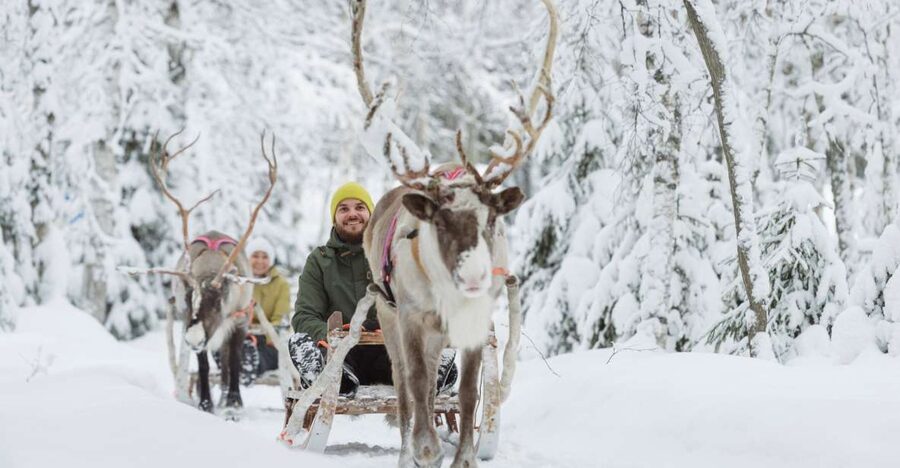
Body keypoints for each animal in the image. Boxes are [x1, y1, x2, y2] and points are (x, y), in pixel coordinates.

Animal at [128, 130, 277, 414]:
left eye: (217, 302)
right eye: (187, 300)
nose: (194, 338)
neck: (209, 269)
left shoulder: (240, 321)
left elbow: (234, 362)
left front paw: (234, 404)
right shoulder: (192, 326)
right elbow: (205, 365)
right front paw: (206, 403)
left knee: (229, 363)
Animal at [350, 0, 558, 466]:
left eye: (493, 219)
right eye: (440, 222)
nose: (475, 276)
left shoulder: (476, 323)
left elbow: (466, 394)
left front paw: (463, 455)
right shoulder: (410, 317)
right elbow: (417, 390)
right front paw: (426, 451)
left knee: (432, 385)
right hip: (388, 315)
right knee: (406, 390)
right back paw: (407, 451)